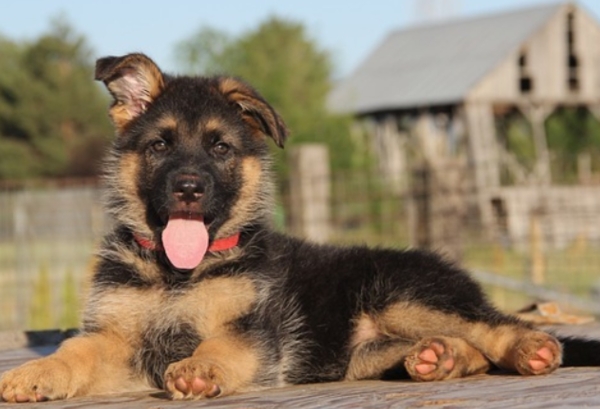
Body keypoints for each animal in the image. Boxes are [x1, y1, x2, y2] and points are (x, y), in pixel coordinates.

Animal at [1, 51, 600, 402]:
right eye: (160, 145)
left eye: (220, 148)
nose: (189, 189)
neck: (177, 274)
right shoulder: (116, 338)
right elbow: (74, 351)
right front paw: (34, 374)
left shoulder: (250, 330)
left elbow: (219, 346)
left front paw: (200, 368)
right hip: (361, 352)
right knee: (463, 346)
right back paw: (439, 358)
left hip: (403, 294)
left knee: (494, 325)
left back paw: (530, 349)